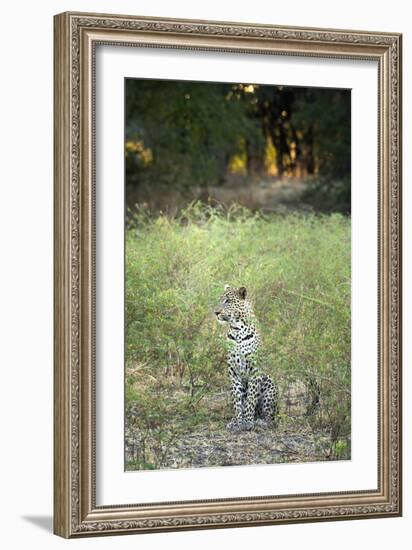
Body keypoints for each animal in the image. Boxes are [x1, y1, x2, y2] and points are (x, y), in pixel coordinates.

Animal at [214, 286, 278, 434]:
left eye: (228, 301)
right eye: (220, 300)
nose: (216, 312)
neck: (237, 329)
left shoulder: (254, 369)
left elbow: (250, 398)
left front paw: (248, 422)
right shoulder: (233, 371)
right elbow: (238, 400)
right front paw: (238, 422)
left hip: (269, 384)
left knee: (269, 416)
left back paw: (260, 422)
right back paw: (233, 421)